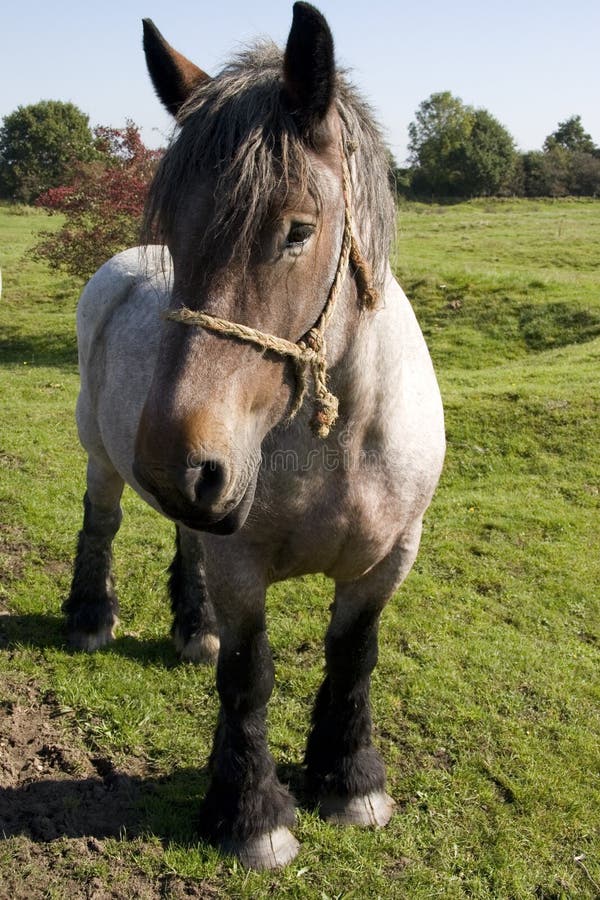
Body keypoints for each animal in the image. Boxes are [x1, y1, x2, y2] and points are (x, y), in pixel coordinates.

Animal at [64, 2, 445, 869]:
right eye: (175, 233)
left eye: (298, 230)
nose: (176, 464)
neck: (339, 445)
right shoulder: (241, 563)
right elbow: (250, 675)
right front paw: (253, 815)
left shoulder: (390, 558)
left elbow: (353, 657)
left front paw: (350, 780)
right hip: (110, 459)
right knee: (102, 523)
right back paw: (92, 618)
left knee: (182, 532)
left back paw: (192, 626)